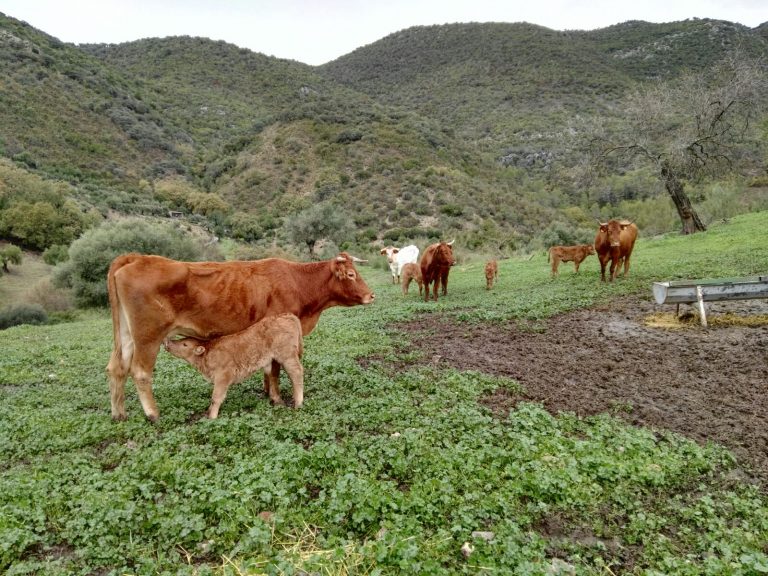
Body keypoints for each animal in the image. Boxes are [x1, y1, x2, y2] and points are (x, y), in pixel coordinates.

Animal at [163, 312, 304, 416]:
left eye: (185, 344)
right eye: (183, 340)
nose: (167, 342)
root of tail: (287, 315)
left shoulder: (223, 375)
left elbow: (216, 397)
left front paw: (212, 417)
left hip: (287, 355)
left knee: (297, 372)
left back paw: (298, 403)